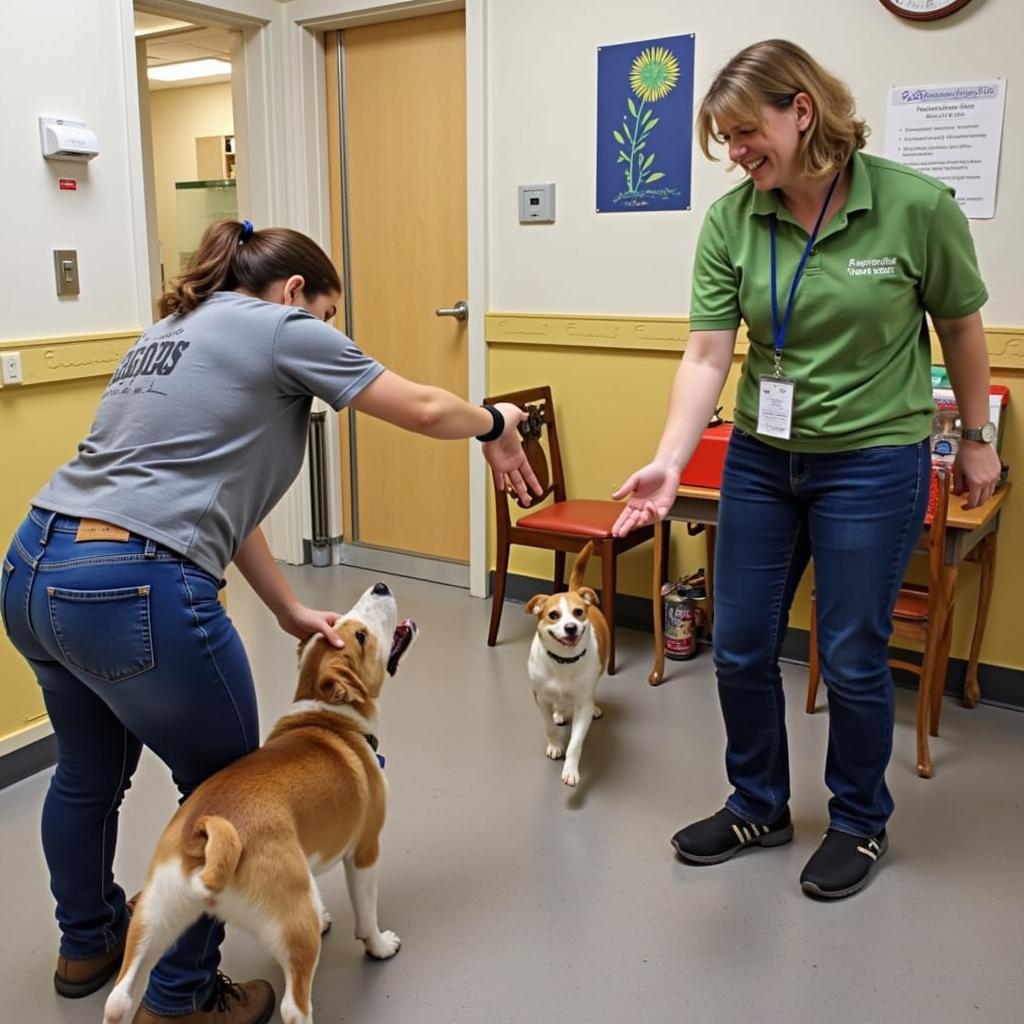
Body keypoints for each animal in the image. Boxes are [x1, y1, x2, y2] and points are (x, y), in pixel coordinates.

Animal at [104, 585, 419, 1024]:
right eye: (359, 635)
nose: (381, 587)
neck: (329, 717)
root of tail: (207, 836)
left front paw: (325, 914)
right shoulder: (364, 851)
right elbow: (366, 913)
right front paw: (378, 945)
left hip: (152, 921)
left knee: (119, 998)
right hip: (296, 932)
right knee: (293, 1006)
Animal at [528, 540, 606, 786]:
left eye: (578, 612)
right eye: (554, 615)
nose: (570, 627)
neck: (563, 661)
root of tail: (574, 589)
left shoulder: (582, 706)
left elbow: (575, 744)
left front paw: (570, 769)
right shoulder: (540, 698)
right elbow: (549, 727)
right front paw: (555, 746)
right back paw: (560, 712)